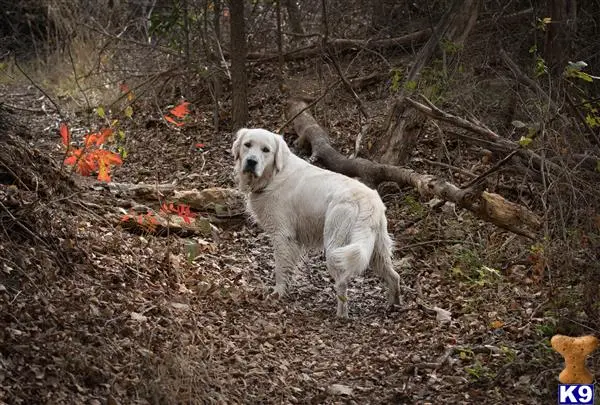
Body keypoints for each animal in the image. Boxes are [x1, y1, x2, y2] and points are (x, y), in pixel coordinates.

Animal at [232, 128, 400, 318]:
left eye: (266, 150)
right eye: (247, 145)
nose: (251, 162)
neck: (275, 175)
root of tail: (368, 201)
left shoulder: (282, 236)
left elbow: (280, 269)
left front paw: (278, 293)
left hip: (336, 245)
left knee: (342, 282)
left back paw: (341, 315)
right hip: (376, 249)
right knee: (394, 276)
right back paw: (394, 304)